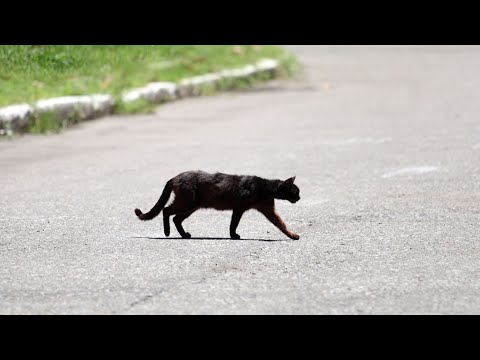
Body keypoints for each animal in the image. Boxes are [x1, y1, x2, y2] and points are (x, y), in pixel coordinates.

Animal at [135, 171, 300, 239]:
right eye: (295, 192)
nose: (299, 198)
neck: (266, 188)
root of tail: (174, 177)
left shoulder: (268, 210)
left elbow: (281, 224)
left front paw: (293, 236)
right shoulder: (239, 208)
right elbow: (233, 224)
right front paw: (233, 236)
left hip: (192, 206)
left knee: (176, 218)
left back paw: (184, 235)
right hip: (187, 203)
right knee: (166, 210)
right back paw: (167, 232)